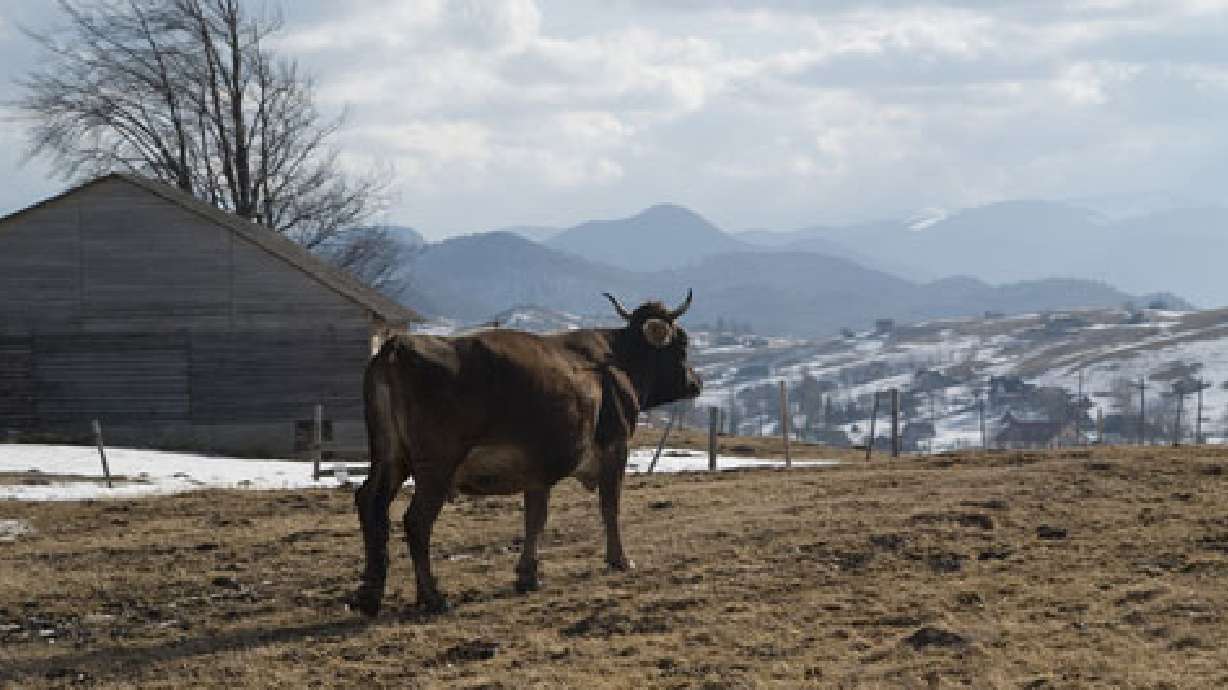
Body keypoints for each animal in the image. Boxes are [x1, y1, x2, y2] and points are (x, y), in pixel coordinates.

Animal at [350, 291, 702, 615]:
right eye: (682, 343)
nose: (696, 381)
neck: (615, 361)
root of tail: (397, 346)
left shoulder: (538, 469)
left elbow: (535, 517)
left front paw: (528, 575)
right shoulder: (615, 447)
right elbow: (609, 507)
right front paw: (620, 560)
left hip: (389, 458)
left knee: (371, 505)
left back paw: (369, 595)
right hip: (436, 467)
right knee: (416, 521)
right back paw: (433, 597)